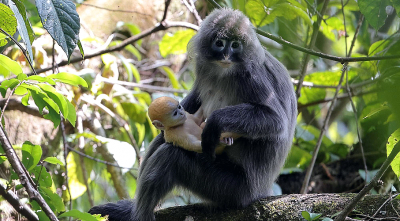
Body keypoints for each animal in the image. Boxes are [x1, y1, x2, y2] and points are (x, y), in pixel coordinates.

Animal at [90, 7, 296, 221]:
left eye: (235, 45)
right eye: (220, 43)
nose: (226, 56)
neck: (225, 71)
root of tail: (260, 192)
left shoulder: (252, 75)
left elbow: (275, 121)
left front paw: (215, 123)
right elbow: (194, 101)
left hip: (232, 190)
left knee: (170, 156)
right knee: (162, 142)